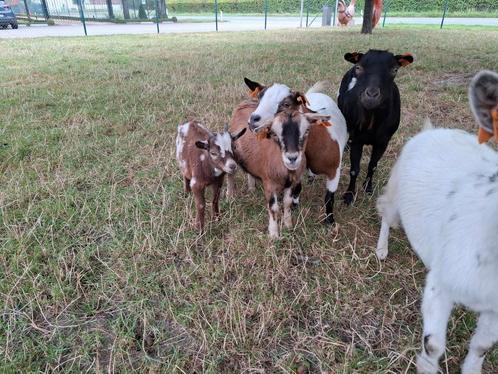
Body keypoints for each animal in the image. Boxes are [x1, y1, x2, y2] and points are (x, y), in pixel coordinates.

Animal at [229, 100, 330, 237]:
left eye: (307, 130)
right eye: (274, 133)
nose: (292, 158)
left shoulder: (291, 183)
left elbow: (287, 203)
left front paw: (288, 225)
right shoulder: (269, 183)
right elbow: (273, 207)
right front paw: (273, 234)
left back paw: (251, 188)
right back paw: (230, 195)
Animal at [244, 78, 346, 224]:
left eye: (286, 104)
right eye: (259, 98)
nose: (253, 120)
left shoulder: (334, 171)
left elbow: (329, 197)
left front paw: (330, 221)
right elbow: (297, 188)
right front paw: (294, 205)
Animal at [338, 49, 412, 205]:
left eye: (394, 70)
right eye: (359, 68)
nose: (371, 95)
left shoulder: (383, 142)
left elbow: (373, 165)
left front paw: (368, 188)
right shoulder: (357, 140)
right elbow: (354, 169)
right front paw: (349, 196)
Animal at [376, 69, 498, 372]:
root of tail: (432, 130)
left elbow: (482, 346)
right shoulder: (441, 284)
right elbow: (432, 344)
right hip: (396, 189)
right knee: (385, 212)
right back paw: (381, 249)